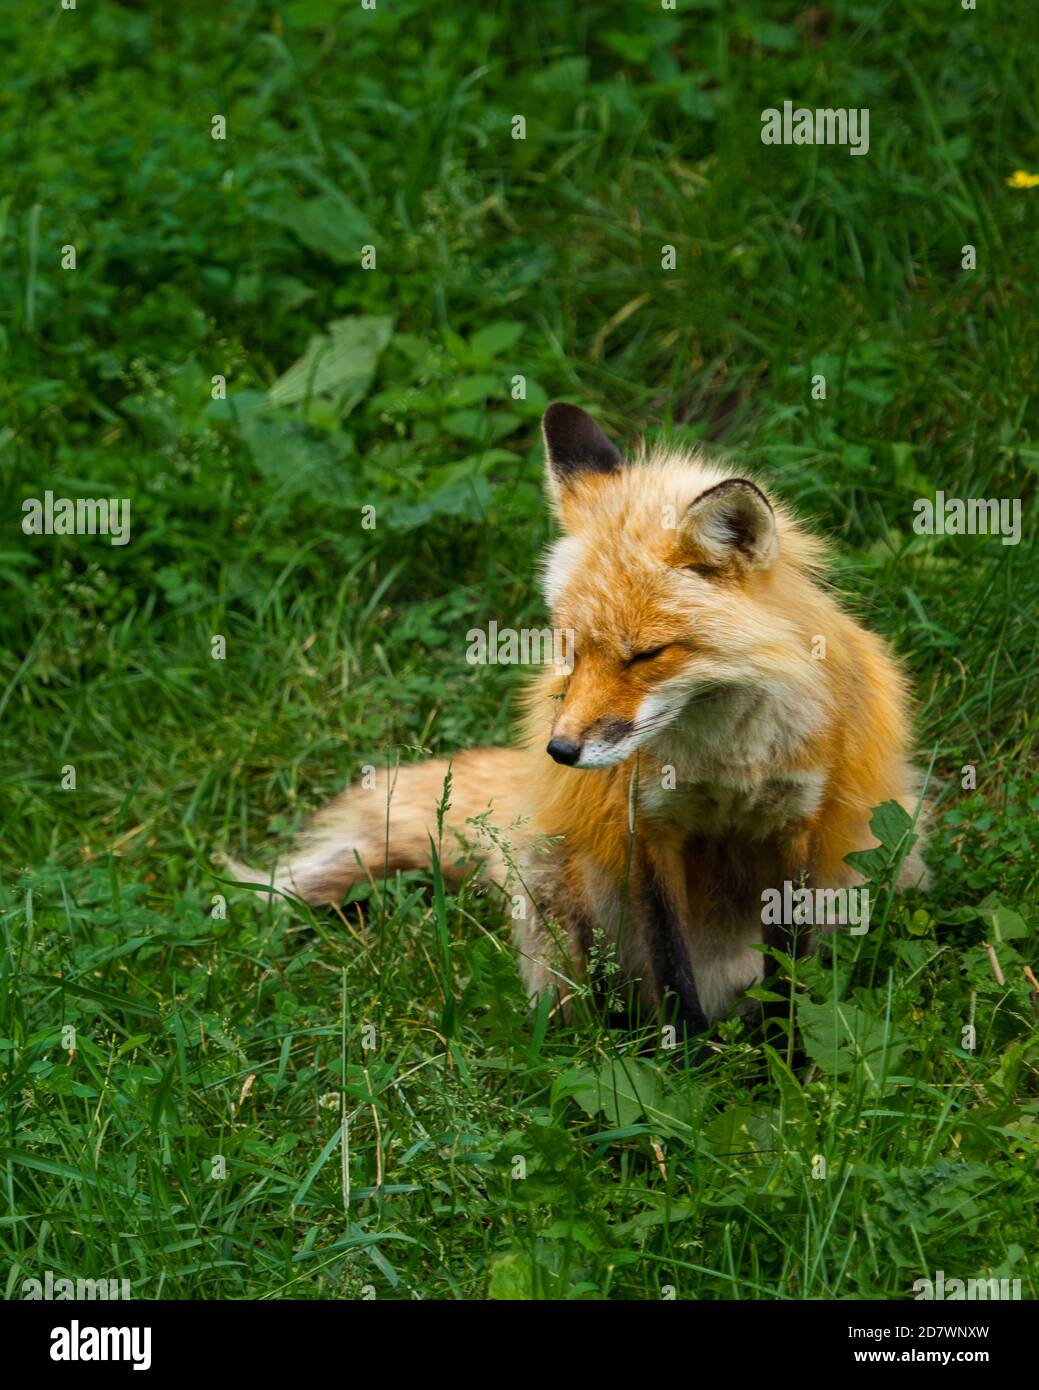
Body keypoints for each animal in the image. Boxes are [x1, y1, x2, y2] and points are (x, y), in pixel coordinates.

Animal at [224, 402, 928, 1035]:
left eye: (645, 654)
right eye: (570, 647)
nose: (560, 753)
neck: (724, 761)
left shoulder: (797, 827)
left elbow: (790, 977)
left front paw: (786, 1065)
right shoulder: (647, 828)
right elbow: (672, 973)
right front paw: (686, 1069)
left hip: (890, 859)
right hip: (555, 895)